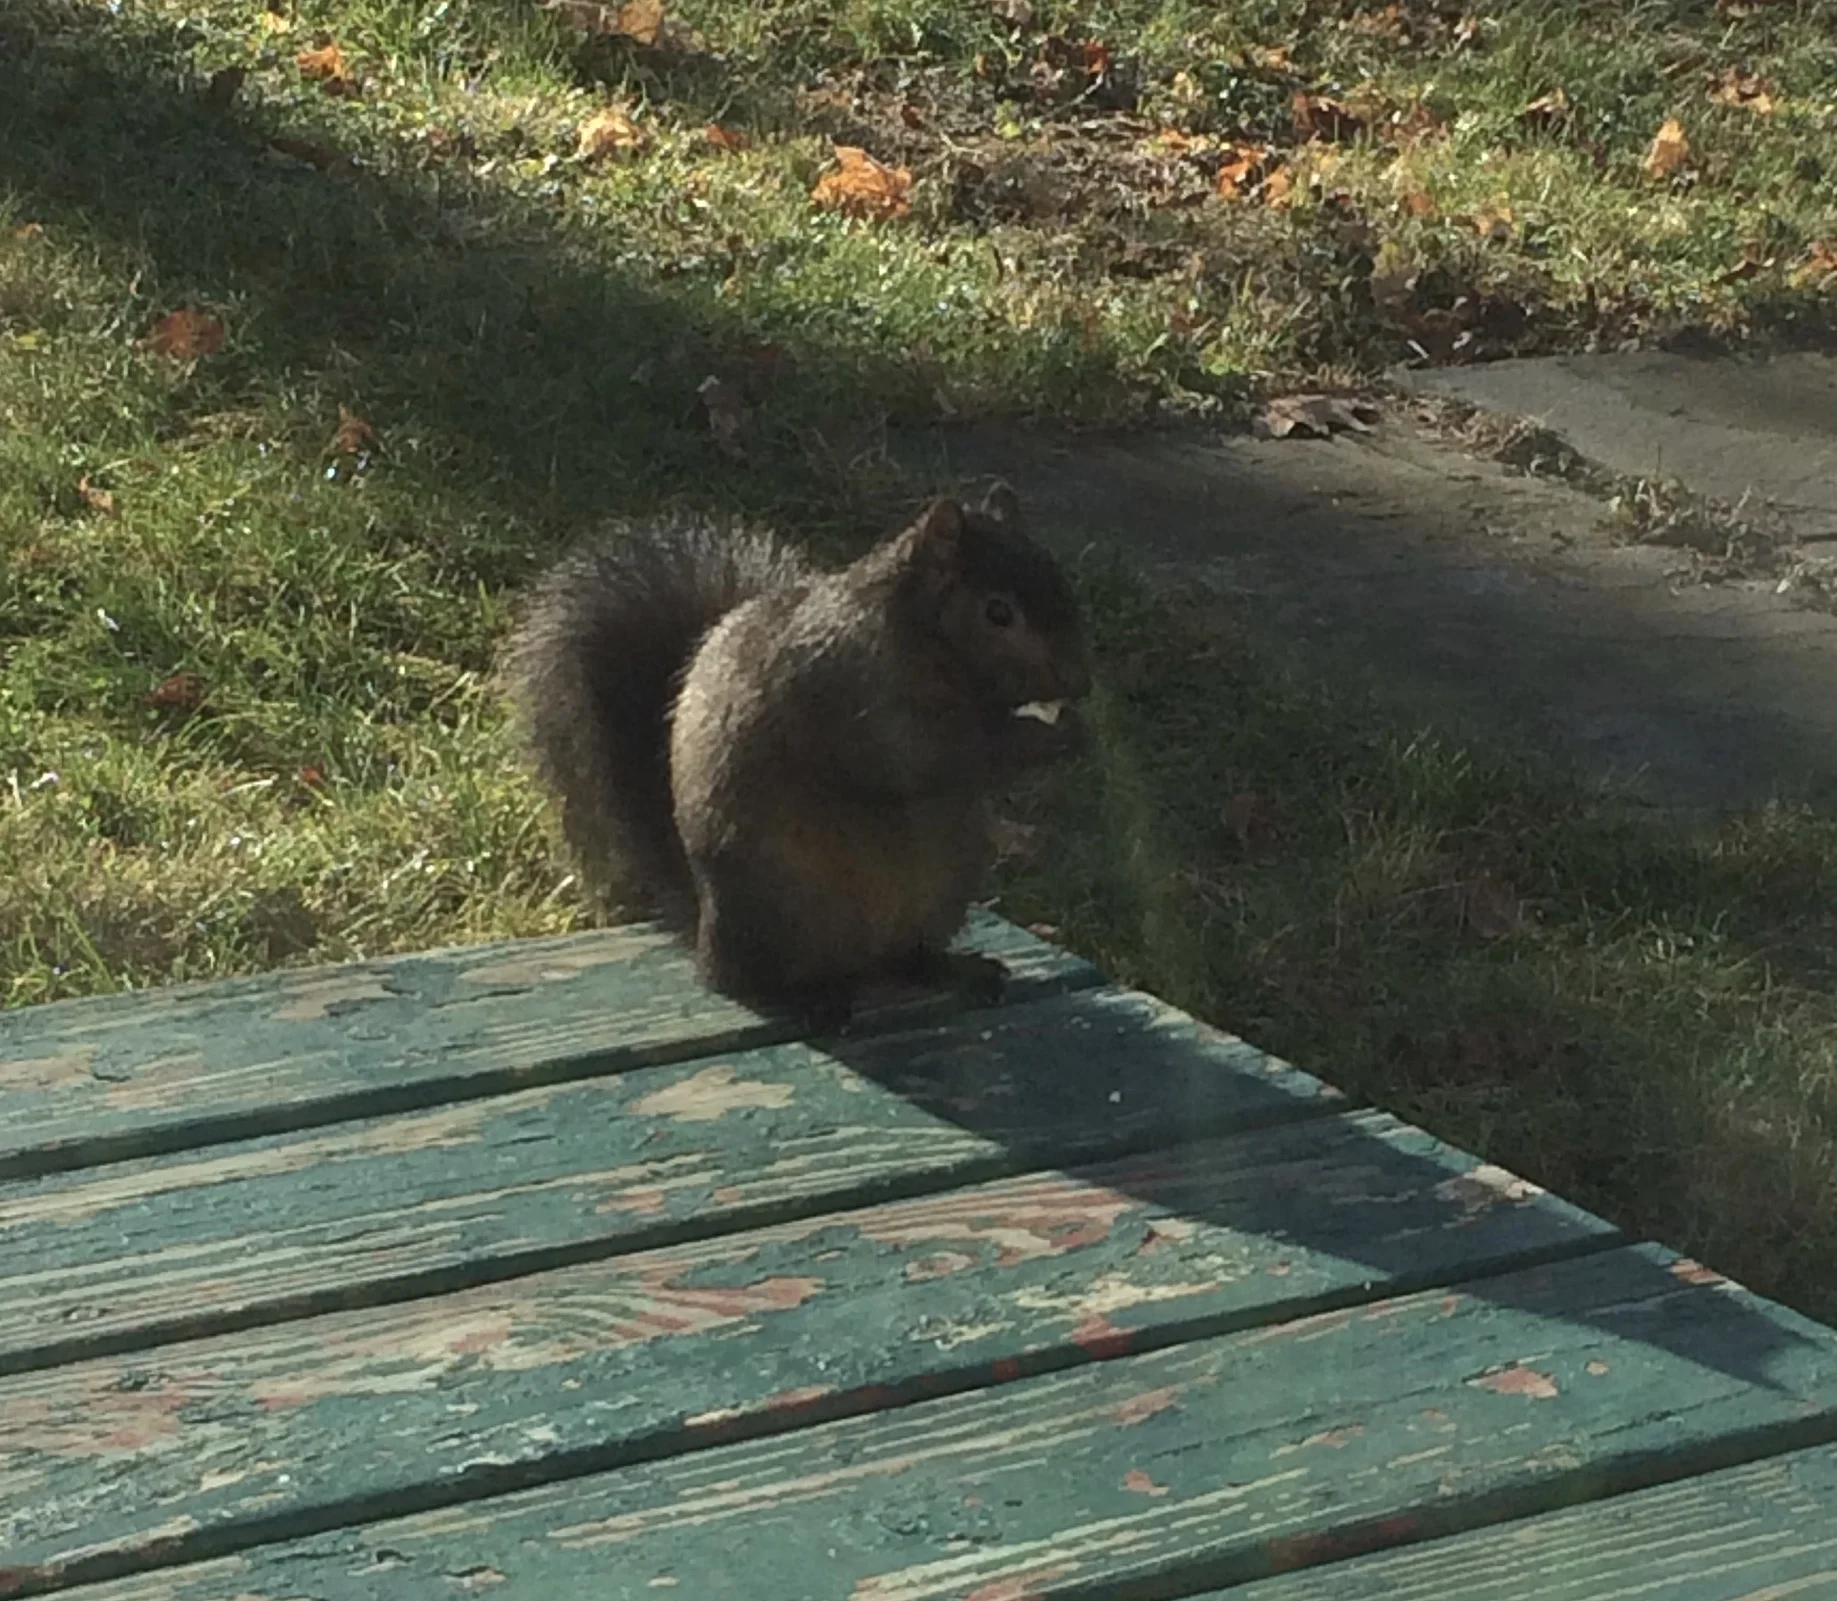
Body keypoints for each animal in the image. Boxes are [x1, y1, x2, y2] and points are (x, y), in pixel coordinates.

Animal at [502, 484, 1091, 1019]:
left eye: (1062, 580)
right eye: (998, 613)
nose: (1078, 681)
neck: (920, 638)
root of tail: (704, 928)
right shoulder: (850, 693)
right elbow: (922, 756)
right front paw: (1048, 733)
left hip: (945, 885)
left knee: (905, 958)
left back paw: (952, 969)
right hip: (776, 907)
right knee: (741, 982)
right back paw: (804, 999)